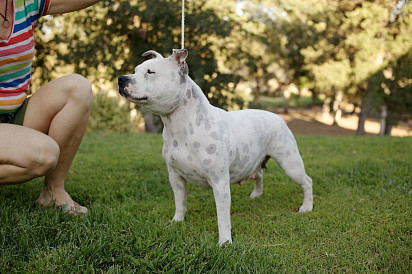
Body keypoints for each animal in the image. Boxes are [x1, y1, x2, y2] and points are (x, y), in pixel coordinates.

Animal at [117, 48, 314, 244]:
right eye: (135, 70)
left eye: (150, 72)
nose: (121, 79)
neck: (181, 126)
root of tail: (277, 116)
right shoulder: (175, 176)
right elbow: (180, 202)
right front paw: (176, 221)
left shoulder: (220, 183)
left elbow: (223, 217)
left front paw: (225, 242)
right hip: (257, 159)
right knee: (259, 173)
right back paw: (257, 194)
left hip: (290, 163)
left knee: (307, 181)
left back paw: (306, 207)